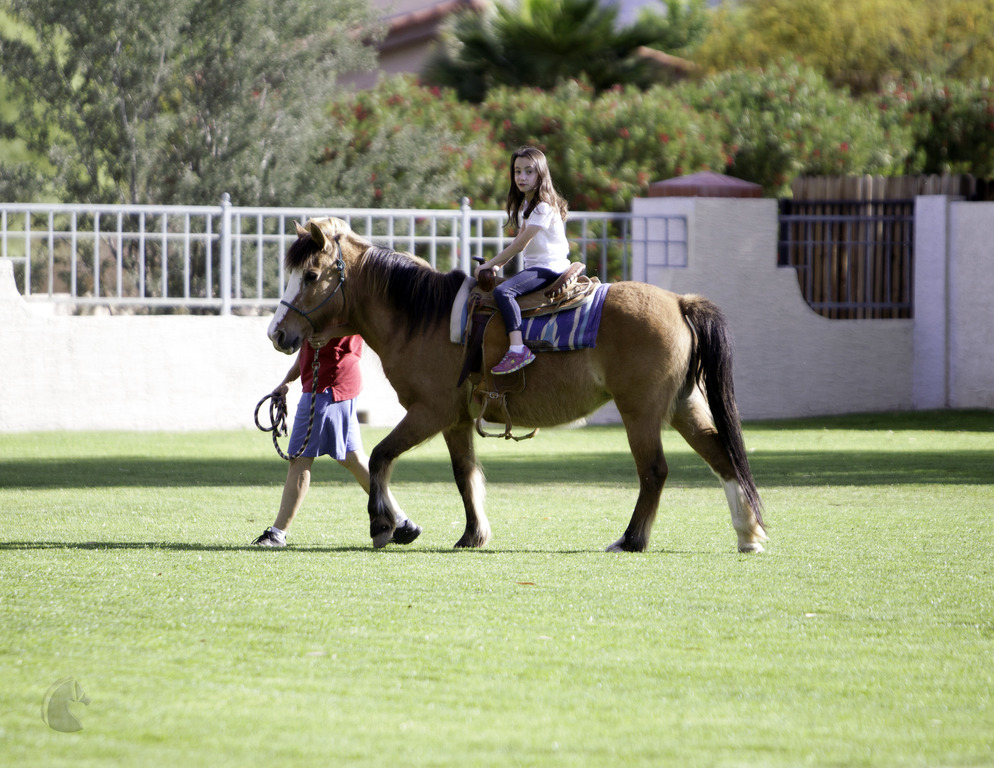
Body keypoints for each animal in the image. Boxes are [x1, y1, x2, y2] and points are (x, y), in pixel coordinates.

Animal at [267, 217, 767, 554]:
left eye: (310, 275)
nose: (277, 333)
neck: (425, 319)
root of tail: (680, 301)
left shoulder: (430, 411)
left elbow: (379, 456)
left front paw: (383, 526)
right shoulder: (456, 420)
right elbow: (465, 475)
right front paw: (472, 535)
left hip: (640, 412)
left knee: (654, 471)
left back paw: (631, 539)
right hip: (684, 406)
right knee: (722, 456)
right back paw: (748, 533)